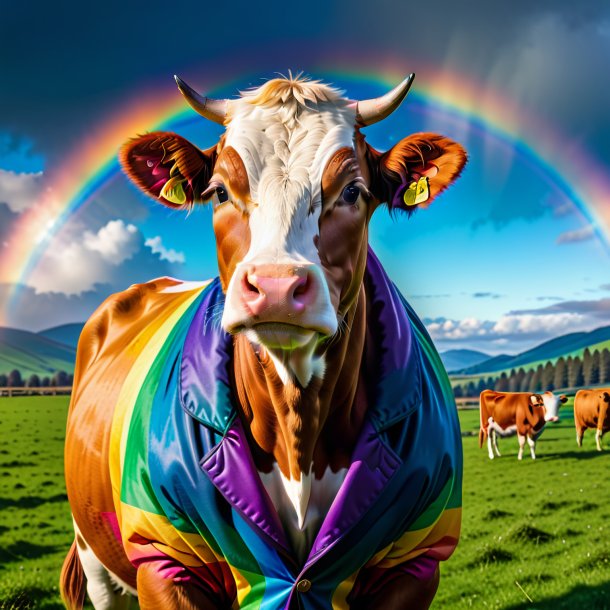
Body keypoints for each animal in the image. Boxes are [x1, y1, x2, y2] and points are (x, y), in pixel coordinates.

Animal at [59, 72, 464, 608]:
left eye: (353, 191)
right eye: (219, 192)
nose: (275, 287)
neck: (298, 427)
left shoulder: (414, 560)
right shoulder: (167, 560)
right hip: (94, 553)